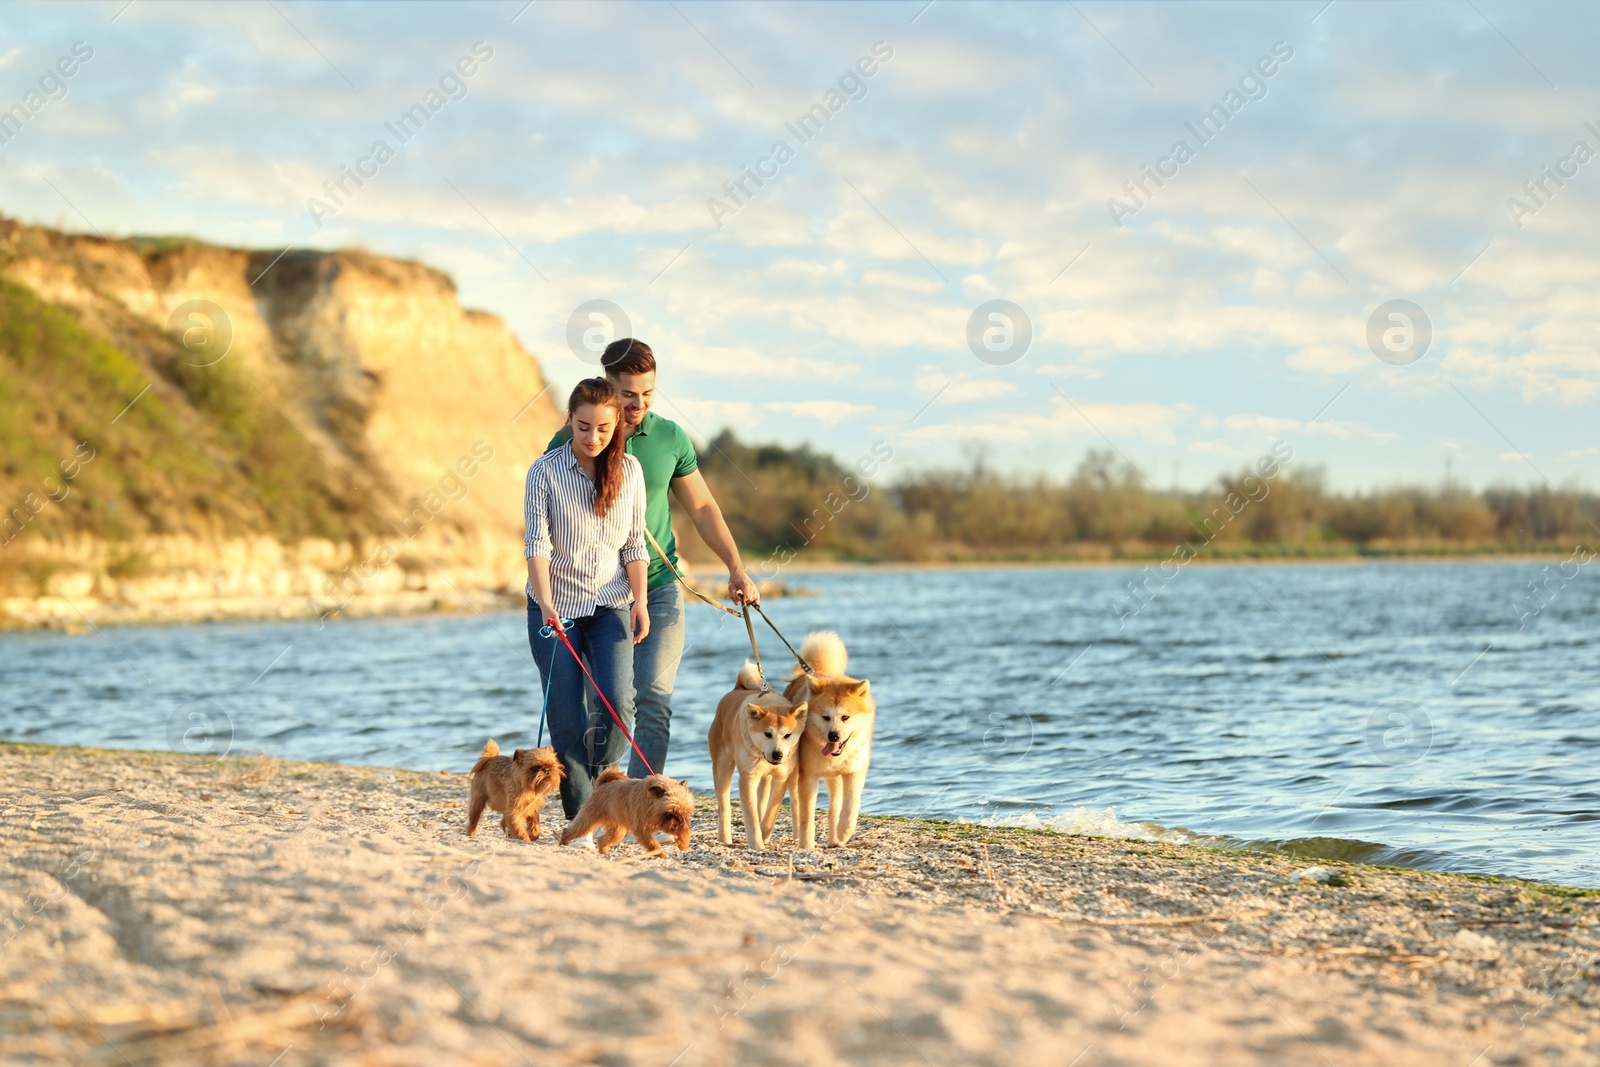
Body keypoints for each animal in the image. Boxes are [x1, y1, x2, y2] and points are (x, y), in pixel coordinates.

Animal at [556, 771, 694, 857]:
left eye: (685, 813)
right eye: (671, 813)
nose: (680, 821)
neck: (651, 803)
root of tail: (602, 785)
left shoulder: (667, 824)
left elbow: (685, 832)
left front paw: (683, 844)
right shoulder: (642, 830)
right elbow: (654, 845)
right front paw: (662, 856)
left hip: (618, 831)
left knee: (602, 840)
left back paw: (604, 851)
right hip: (587, 821)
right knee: (569, 831)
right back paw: (563, 844)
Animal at [713, 659, 812, 851]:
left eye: (787, 735)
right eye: (767, 734)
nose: (777, 754)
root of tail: (737, 689)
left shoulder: (781, 778)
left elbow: (770, 813)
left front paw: (764, 834)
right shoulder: (748, 778)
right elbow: (751, 817)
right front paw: (757, 844)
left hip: (765, 779)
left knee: (761, 805)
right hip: (722, 768)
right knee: (724, 806)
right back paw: (724, 838)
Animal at [784, 633, 883, 851]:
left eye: (845, 717)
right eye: (825, 717)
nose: (834, 736)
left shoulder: (854, 772)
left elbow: (850, 807)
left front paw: (844, 832)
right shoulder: (808, 776)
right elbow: (806, 816)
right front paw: (806, 844)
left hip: (835, 780)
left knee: (833, 810)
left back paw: (834, 840)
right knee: (795, 805)